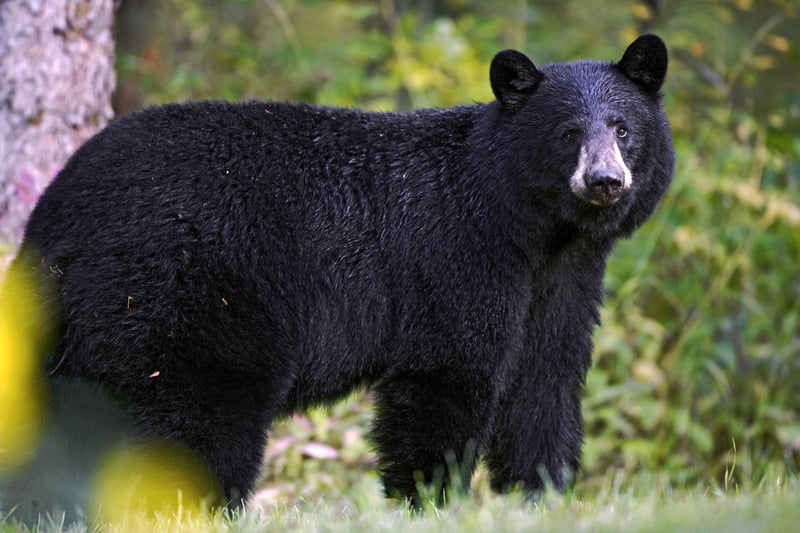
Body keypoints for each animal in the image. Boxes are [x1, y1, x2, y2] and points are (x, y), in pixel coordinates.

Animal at [6, 35, 672, 510]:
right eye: (567, 133)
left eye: (623, 128)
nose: (605, 181)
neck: (532, 227)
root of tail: (57, 218)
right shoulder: (457, 259)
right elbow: (447, 374)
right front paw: (430, 501)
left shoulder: (563, 280)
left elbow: (545, 380)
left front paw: (541, 496)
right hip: (182, 299)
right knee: (191, 421)